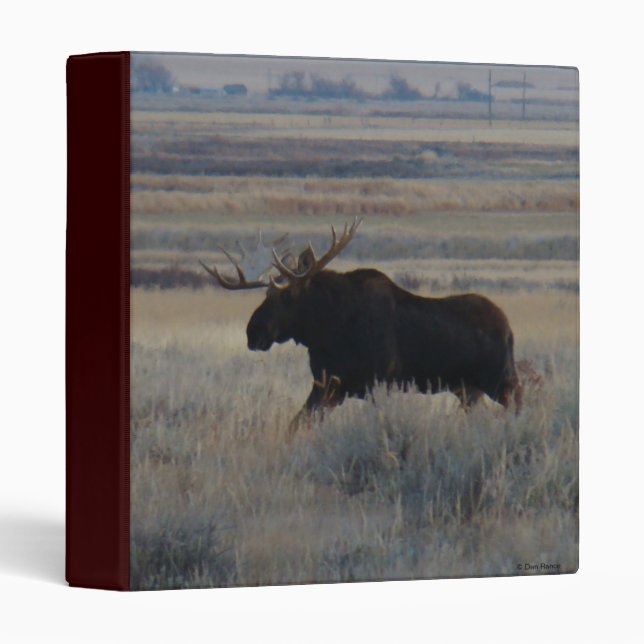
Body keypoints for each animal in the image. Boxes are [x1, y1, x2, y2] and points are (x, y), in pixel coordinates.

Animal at [201, 218, 521, 435]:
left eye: (287, 296)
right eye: (266, 294)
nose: (253, 332)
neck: (325, 332)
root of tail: (509, 329)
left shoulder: (379, 384)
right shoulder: (328, 386)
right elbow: (297, 424)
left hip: (500, 380)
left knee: (520, 404)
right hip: (468, 390)